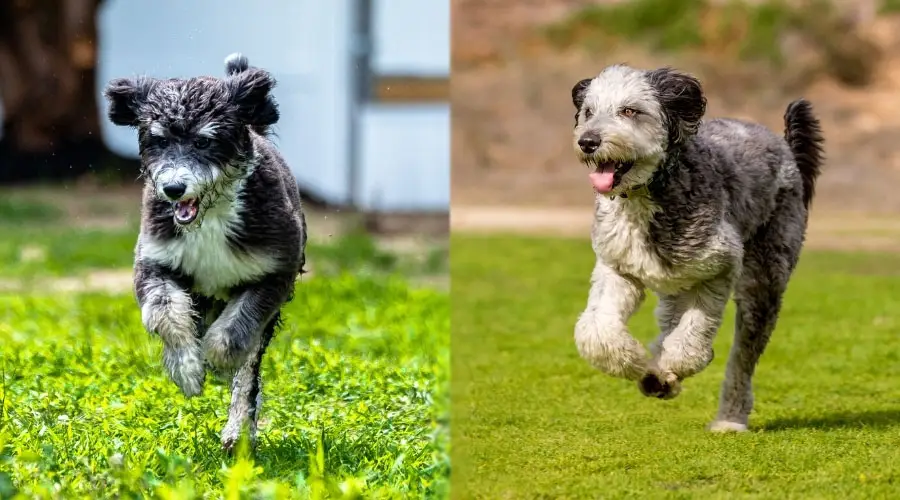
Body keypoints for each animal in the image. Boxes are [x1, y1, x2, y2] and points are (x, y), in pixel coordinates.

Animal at [103, 53, 308, 450]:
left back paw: (237, 430)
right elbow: (165, 313)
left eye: (203, 141)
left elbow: (235, 334)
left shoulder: (274, 271)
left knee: (248, 372)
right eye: (159, 141)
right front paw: (188, 370)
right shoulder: (154, 262)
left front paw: (215, 361)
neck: (208, 218)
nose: (173, 188)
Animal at [572, 64, 828, 432]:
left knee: (741, 361)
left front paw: (673, 363)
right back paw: (657, 375)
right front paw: (635, 363)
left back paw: (728, 419)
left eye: (630, 111)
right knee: (668, 325)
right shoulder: (617, 269)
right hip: (674, 288)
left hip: (763, 282)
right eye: (589, 112)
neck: (649, 195)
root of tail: (786, 148)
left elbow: (693, 338)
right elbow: (596, 333)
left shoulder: (719, 268)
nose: (588, 141)